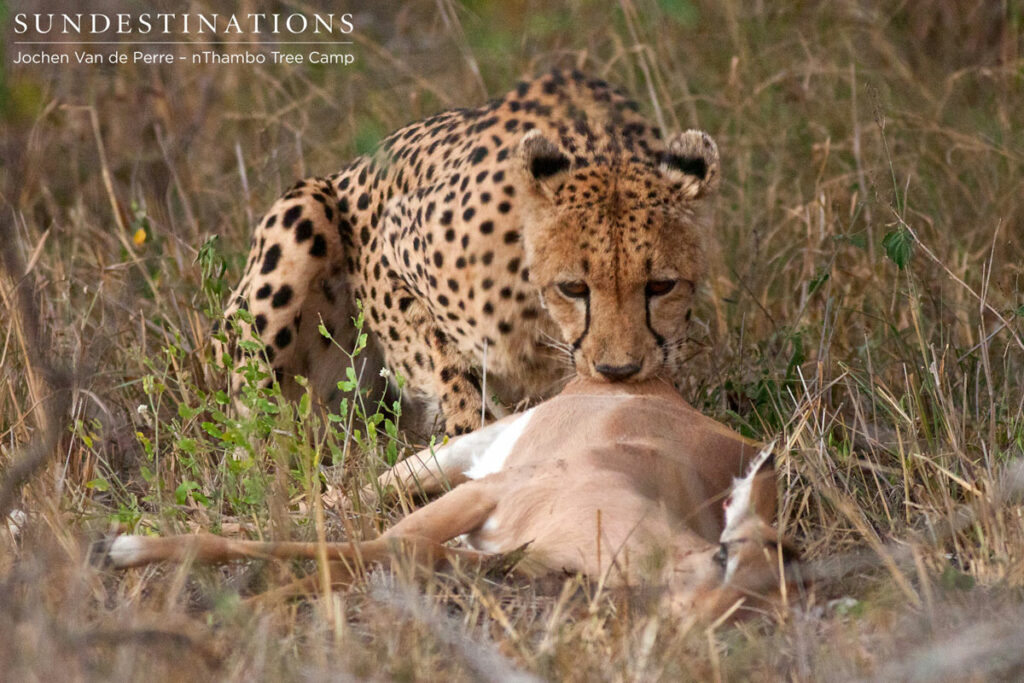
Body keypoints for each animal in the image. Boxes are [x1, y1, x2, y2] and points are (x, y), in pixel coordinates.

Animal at [99, 378, 798, 619]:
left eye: (763, 599)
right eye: (725, 554)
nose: (691, 619)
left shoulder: (482, 553)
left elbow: (362, 558)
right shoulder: (483, 498)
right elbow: (359, 547)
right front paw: (128, 553)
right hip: (443, 462)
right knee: (332, 501)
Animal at [217, 69, 721, 438]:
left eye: (661, 286)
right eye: (573, 288)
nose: (618, 371)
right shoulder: (388, 255)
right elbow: (448, 359)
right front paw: (465, 428)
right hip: (301, 214)